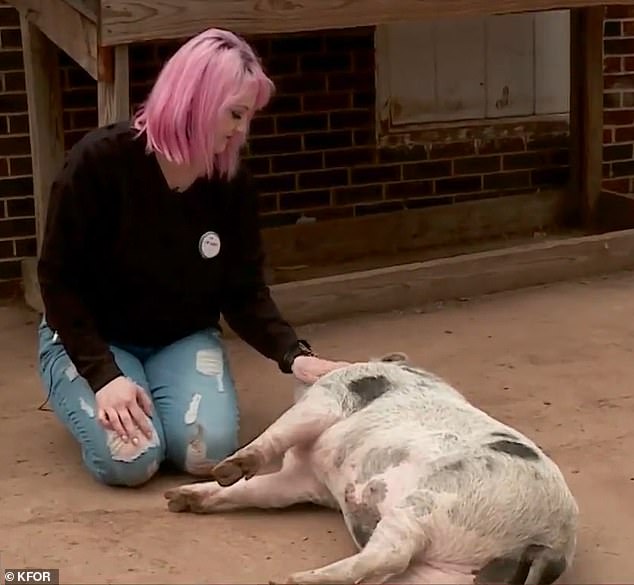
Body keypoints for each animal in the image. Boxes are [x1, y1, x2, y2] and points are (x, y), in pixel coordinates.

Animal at [163, 352, 576, 584]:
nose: (169, 498)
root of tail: (555, 541)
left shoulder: (331, 395)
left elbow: (276, 433)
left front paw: (225, 470)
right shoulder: (304, 482)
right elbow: (254, 492)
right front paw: (175, 499)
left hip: (432, 501)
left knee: (391, 554)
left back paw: (290, 581)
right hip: (448, 570)